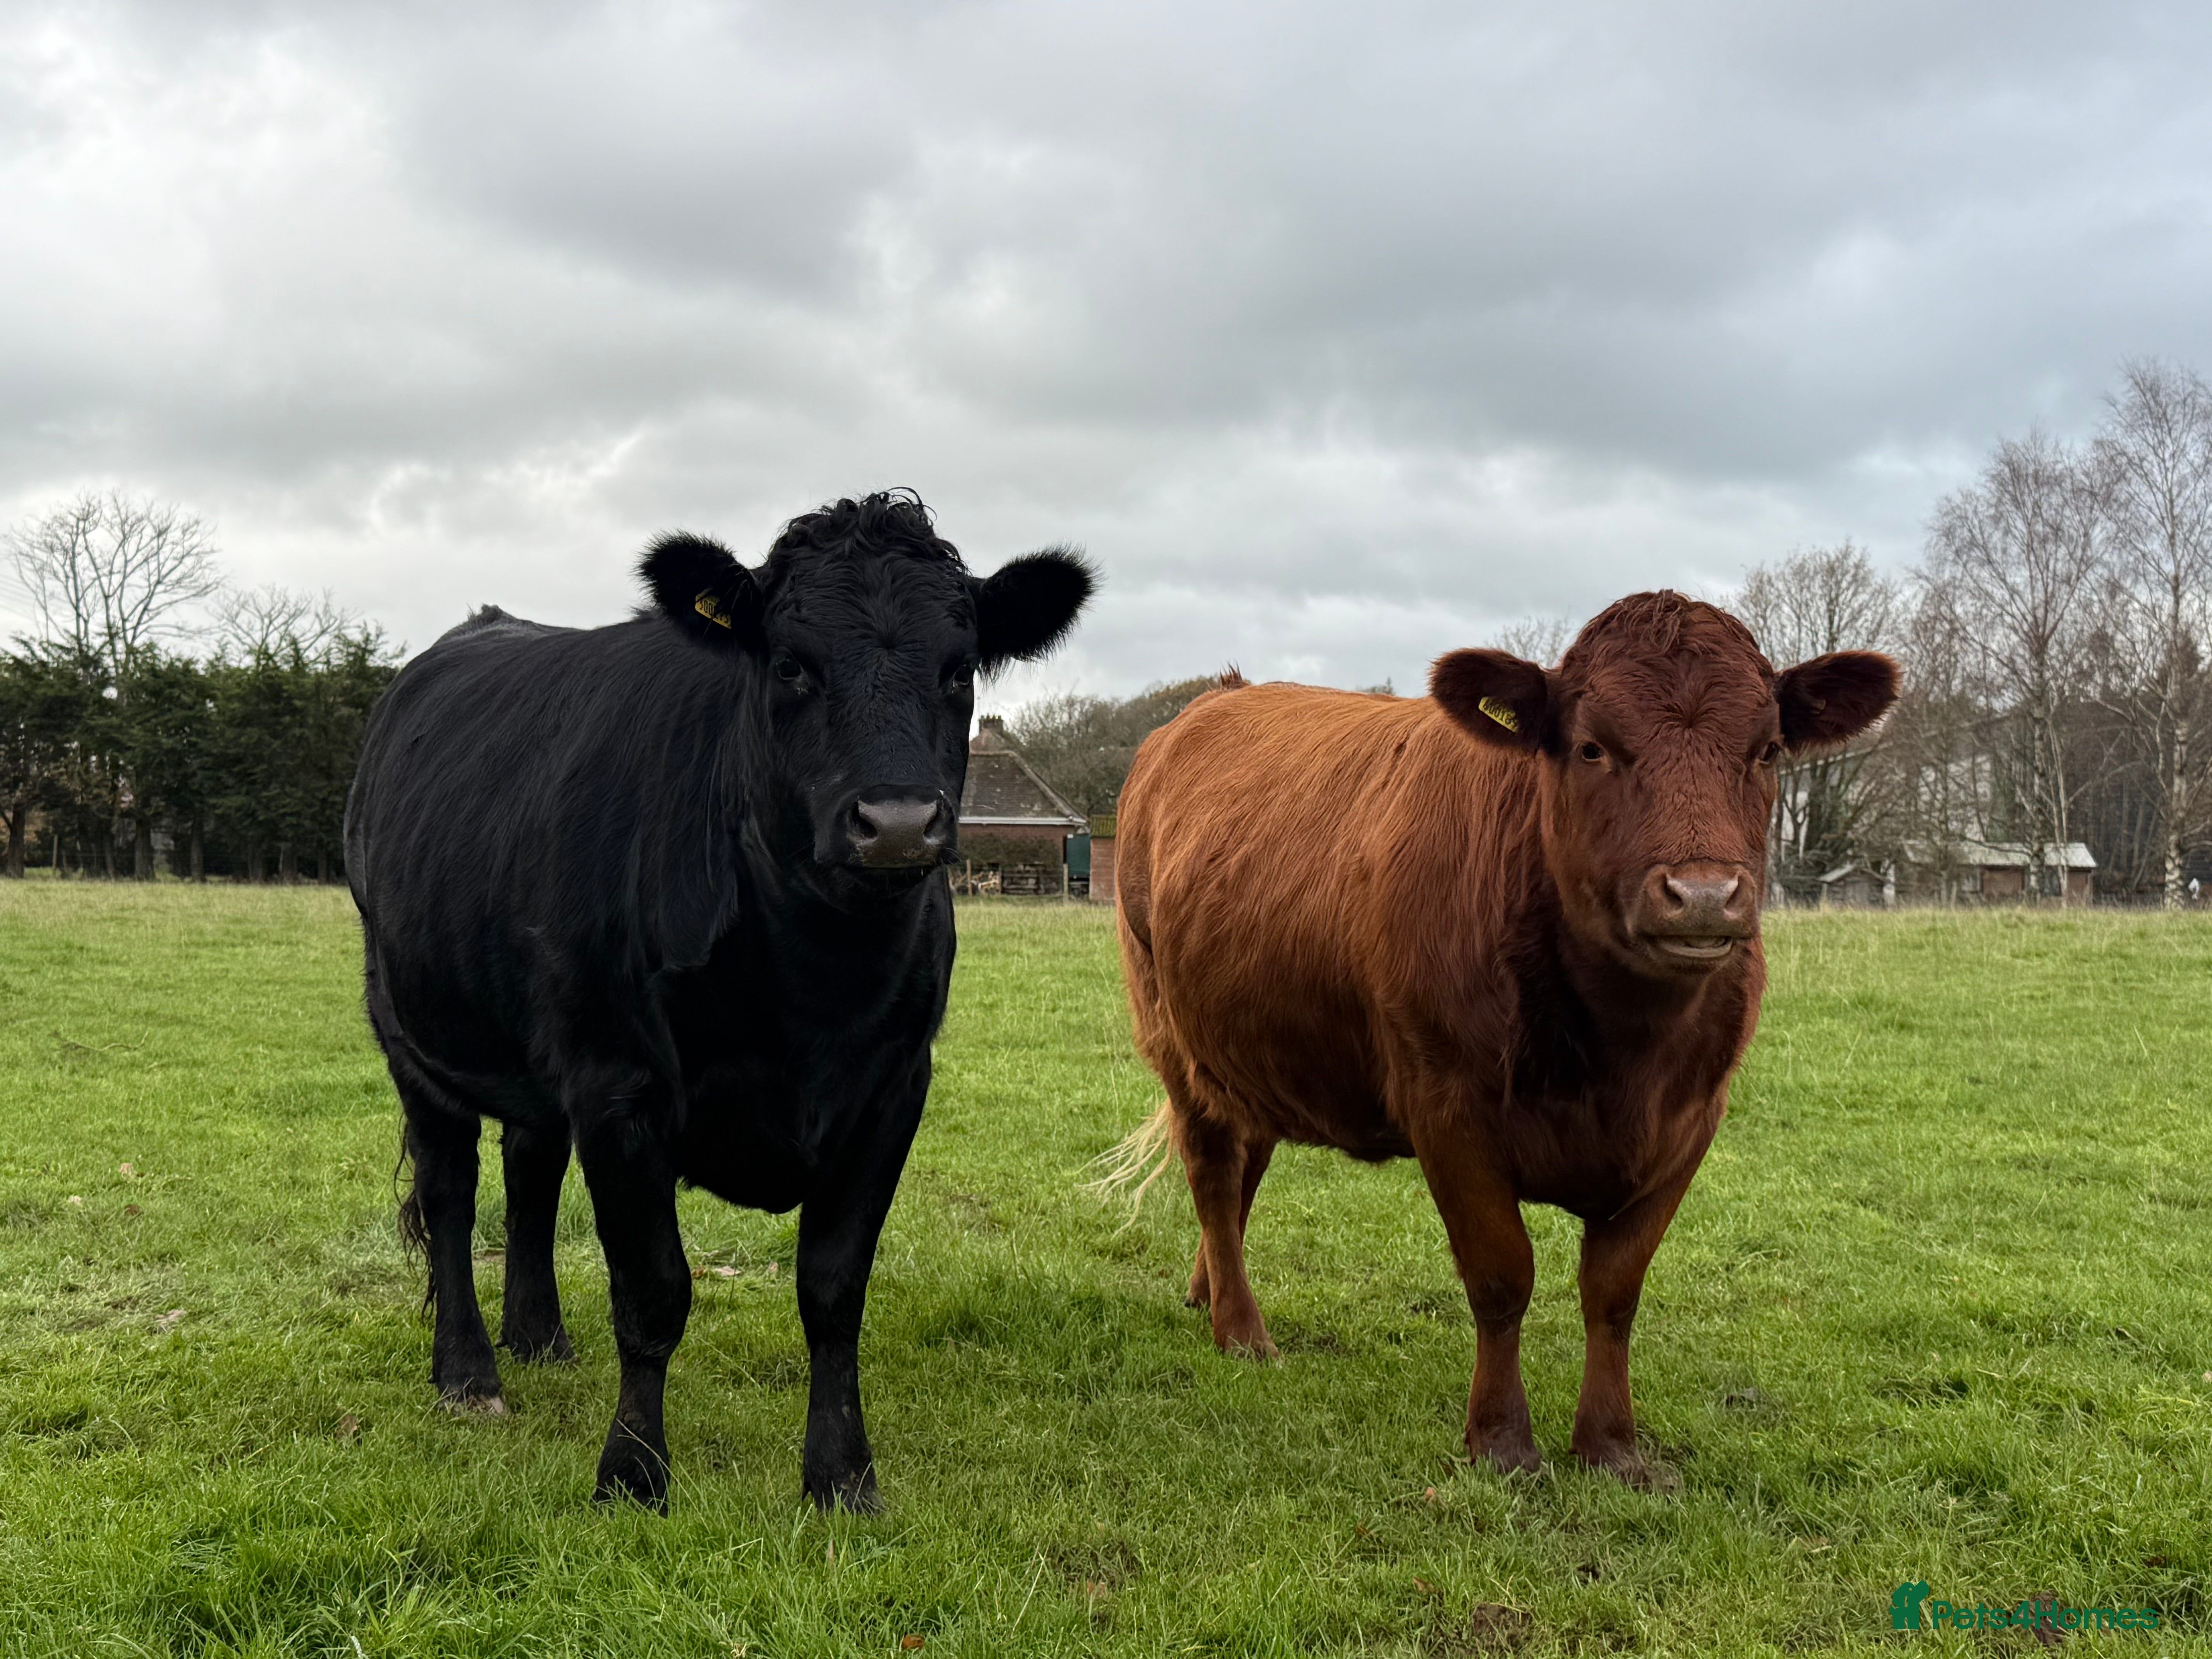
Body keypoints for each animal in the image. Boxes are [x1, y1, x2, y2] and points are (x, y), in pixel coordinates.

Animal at [345, 491, 1092, 1512]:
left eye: (957, 668)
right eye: (791, 664)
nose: (898, 823)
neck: (814, 981)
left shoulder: (892, 1090)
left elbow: (833, 1291)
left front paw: (842, 1479)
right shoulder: (620, 1083)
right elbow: (654, 1294)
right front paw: (631, 1475)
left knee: (531, 1173)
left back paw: (538, 1338)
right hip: (413, 1033)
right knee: (451, 1195)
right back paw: (468, 1373)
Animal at [1107, 592, 1895, 1484]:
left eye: (1765, 751)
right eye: (1591, 746)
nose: (1701, 895)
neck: (1620, 1050)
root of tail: (1209, 704)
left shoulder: (1691, 1122)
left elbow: (1614, 1290)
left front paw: (1612, 1448)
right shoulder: (1447, 1107)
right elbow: (1500, 1275)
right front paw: (1501, 1441)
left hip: (1254, 1047)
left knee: (1247, 1166)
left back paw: (1209, 1289)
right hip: (1175, 1034)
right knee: (1213, 1171)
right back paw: (1242, 1331)